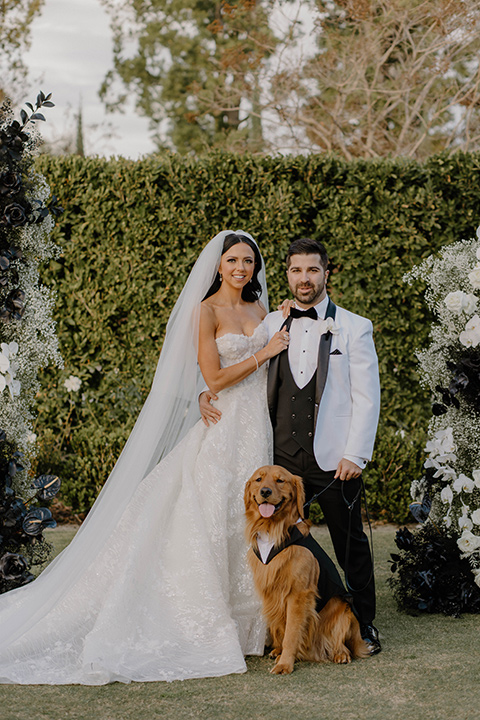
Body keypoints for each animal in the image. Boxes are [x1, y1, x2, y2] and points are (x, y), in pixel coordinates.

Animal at [244, 466, 368, 676]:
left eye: (280, 481)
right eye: (258, 480)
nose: (265, 492)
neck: (273, 531)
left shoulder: (298, 595)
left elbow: (291, 633)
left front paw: (285, 663)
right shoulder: (272, 592)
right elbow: (281, 628)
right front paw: (279, 651)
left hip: (344, 611)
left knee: (342, 643)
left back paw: (341, 654)